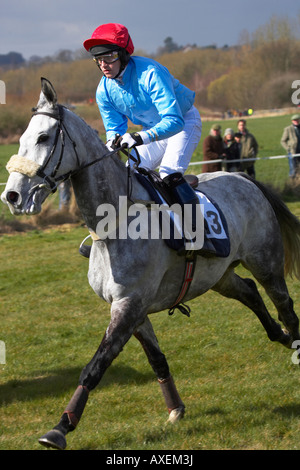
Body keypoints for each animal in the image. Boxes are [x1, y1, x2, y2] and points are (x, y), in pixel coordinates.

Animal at [1, 79, 300, 450]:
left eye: (43, 137)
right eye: (23, 137)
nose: (12, 196)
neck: (113, 223)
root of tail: (245, 179)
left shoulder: (129, 305)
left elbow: (95, 366)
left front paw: (61, 427)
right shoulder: (130, 307)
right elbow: (156, 358)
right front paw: (175, 409)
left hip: (266, 261)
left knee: (283, 302)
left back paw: (294, 342)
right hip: (218, 275)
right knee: (249, 292)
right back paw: (280, 335)